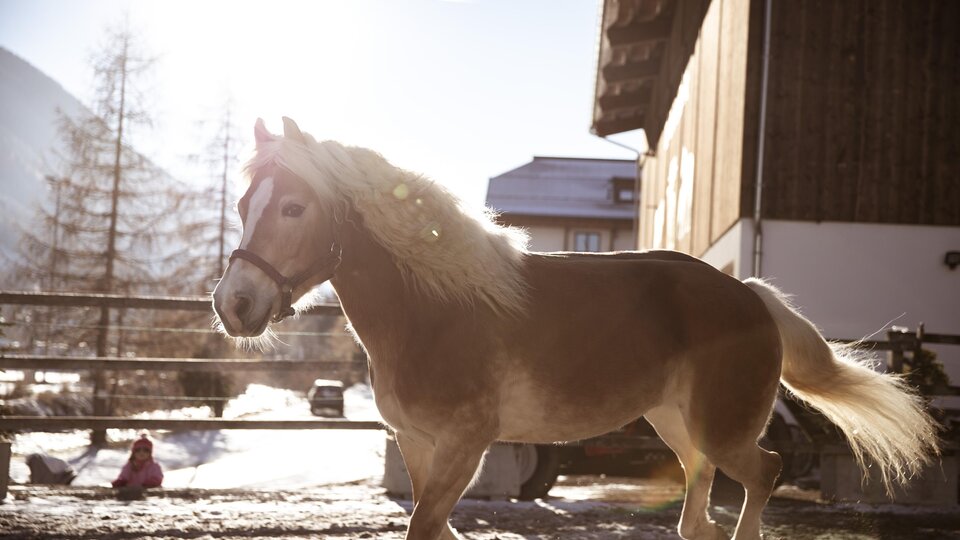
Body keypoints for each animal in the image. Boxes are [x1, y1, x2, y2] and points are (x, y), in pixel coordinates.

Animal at [212, 117, 939, 540]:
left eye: (294, 207)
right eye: (246, 204)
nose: (233, 304)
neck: (438, 309)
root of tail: (752, 298)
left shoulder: (465, 444)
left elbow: (426, 525)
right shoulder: (418, 445)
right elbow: (434, 527)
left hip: (723, 430)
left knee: (764, 476)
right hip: (677, 425)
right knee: (698, 510)